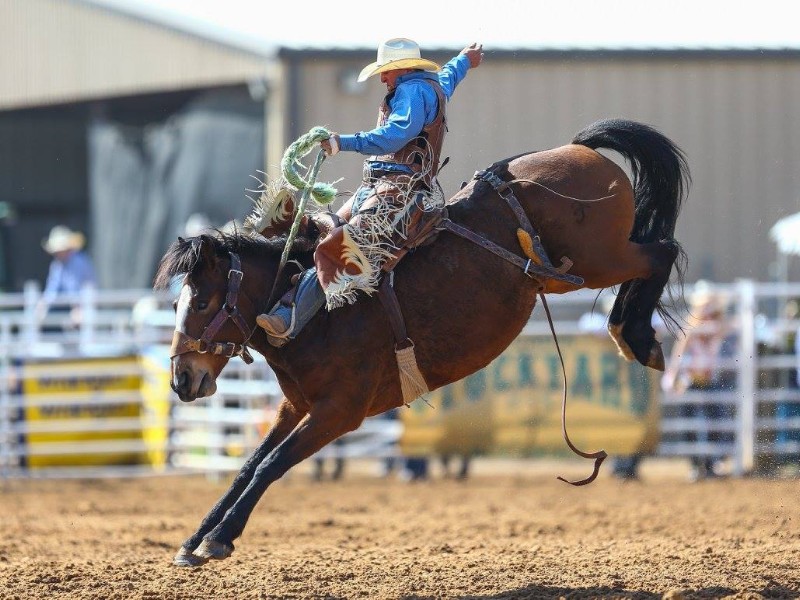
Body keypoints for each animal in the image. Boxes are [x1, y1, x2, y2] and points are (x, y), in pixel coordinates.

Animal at [155, 118, 688, 568]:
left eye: (202, 301)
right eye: (179, 302)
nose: (182, 379)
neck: (308, 310)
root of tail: (579, 148)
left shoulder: (338, 411)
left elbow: (271, 466)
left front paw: (219, 539)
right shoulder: (297, 405)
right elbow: (249, 465)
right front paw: (194, 539)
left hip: (601, 258)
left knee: (661, 253)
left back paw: (635, 338)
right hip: (567, 273)